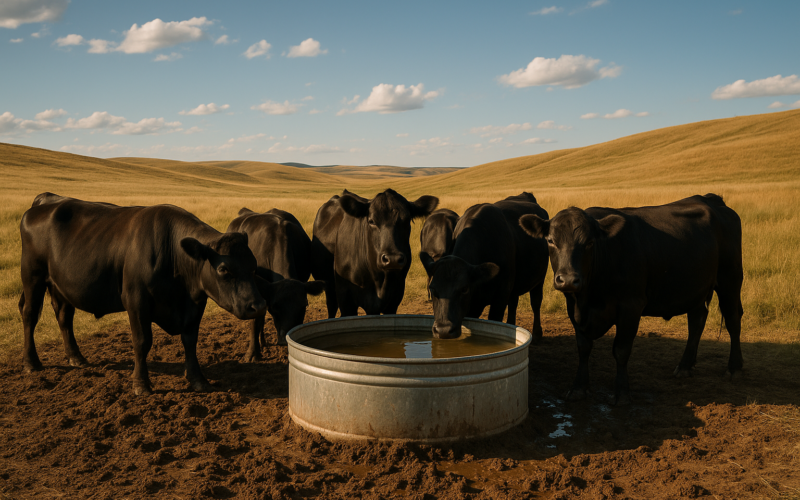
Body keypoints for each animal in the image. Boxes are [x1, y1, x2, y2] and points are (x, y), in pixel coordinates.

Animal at [19, 193, 267, 396]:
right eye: (224, 269)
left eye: (253, 265)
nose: (257, 306)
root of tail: (47, 201)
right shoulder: (136, 301)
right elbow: (142, 341)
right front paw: (141, 384)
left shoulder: (195, 304)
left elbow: (190, 341)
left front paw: (198, 380)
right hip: (32, 277)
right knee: (29, 314)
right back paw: (31, 362)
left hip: (61, 286)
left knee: (64, 317)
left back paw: (76, 357)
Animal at [311, 189, 439, 317]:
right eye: (371, 221)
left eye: (407, 221)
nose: (392, 260)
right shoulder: (345, 299)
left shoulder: (394, 299)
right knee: (331, 306)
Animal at [420, 192, 549, 342]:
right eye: (432, 288)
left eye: (464, 289)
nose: (443, 330)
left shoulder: (501, 295)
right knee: (513, 303)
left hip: (540, 278)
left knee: (536, 302)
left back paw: (537, 335)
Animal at [519, 193, 744, 405]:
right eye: (550, 240)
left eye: (590, 242)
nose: (568, 279)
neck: (590, 298)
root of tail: (711, 200)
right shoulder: (574, 307)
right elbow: (583, 347)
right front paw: (579, 388)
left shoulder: (631, 306)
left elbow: (621, 350)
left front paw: (622, 393)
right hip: (696, 288)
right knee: (697, 320)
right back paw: (685, 366)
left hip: (730, 279)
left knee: (733, 319)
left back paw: (735, 368)